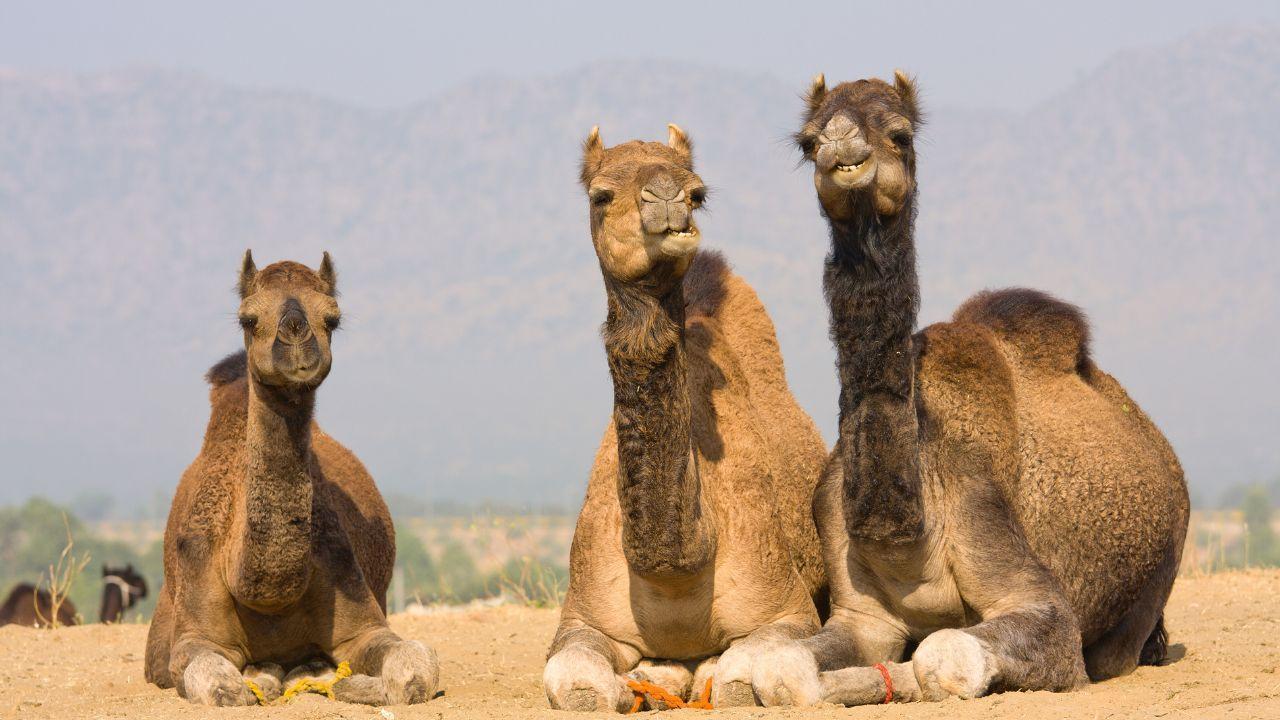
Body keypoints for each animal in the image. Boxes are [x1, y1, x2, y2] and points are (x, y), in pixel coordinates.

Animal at [143, 252, 439, 706]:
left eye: (332, 318)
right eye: (248, 318)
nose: (296, 336)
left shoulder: (361, 616)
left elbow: (415, 668)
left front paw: (349, 683)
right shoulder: (195, 630)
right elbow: (220, 684)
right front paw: (261, 679)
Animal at [543, 125, 828, 712]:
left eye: (698, 193)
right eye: (601, 195)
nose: (668, 198)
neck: (676, 570)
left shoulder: (788, 609)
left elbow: (739, 680)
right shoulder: (581, 618)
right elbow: (574, 681)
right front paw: (627, 687)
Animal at [748, 71, 1190, 706]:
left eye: (900, 132)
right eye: (808, 141)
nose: (840, 147)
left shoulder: (1027, 584)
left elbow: (944, 656)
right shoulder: (861, 615)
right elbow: (781, 665)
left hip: (1153, 583)